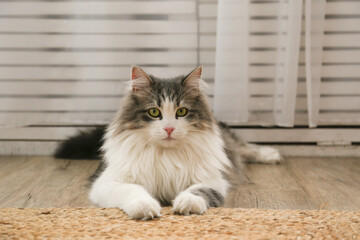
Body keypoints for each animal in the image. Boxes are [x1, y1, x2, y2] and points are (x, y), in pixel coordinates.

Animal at [55, 65, 282, 219]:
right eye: (154, 112)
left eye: (181, 111)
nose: (169, 129)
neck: (165, 154)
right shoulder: (107, 181)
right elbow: (133, 190)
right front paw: (145, 207)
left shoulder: (212, 179)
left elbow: (197, 191)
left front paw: (187, 203)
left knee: (241, 147)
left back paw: (271, 154)